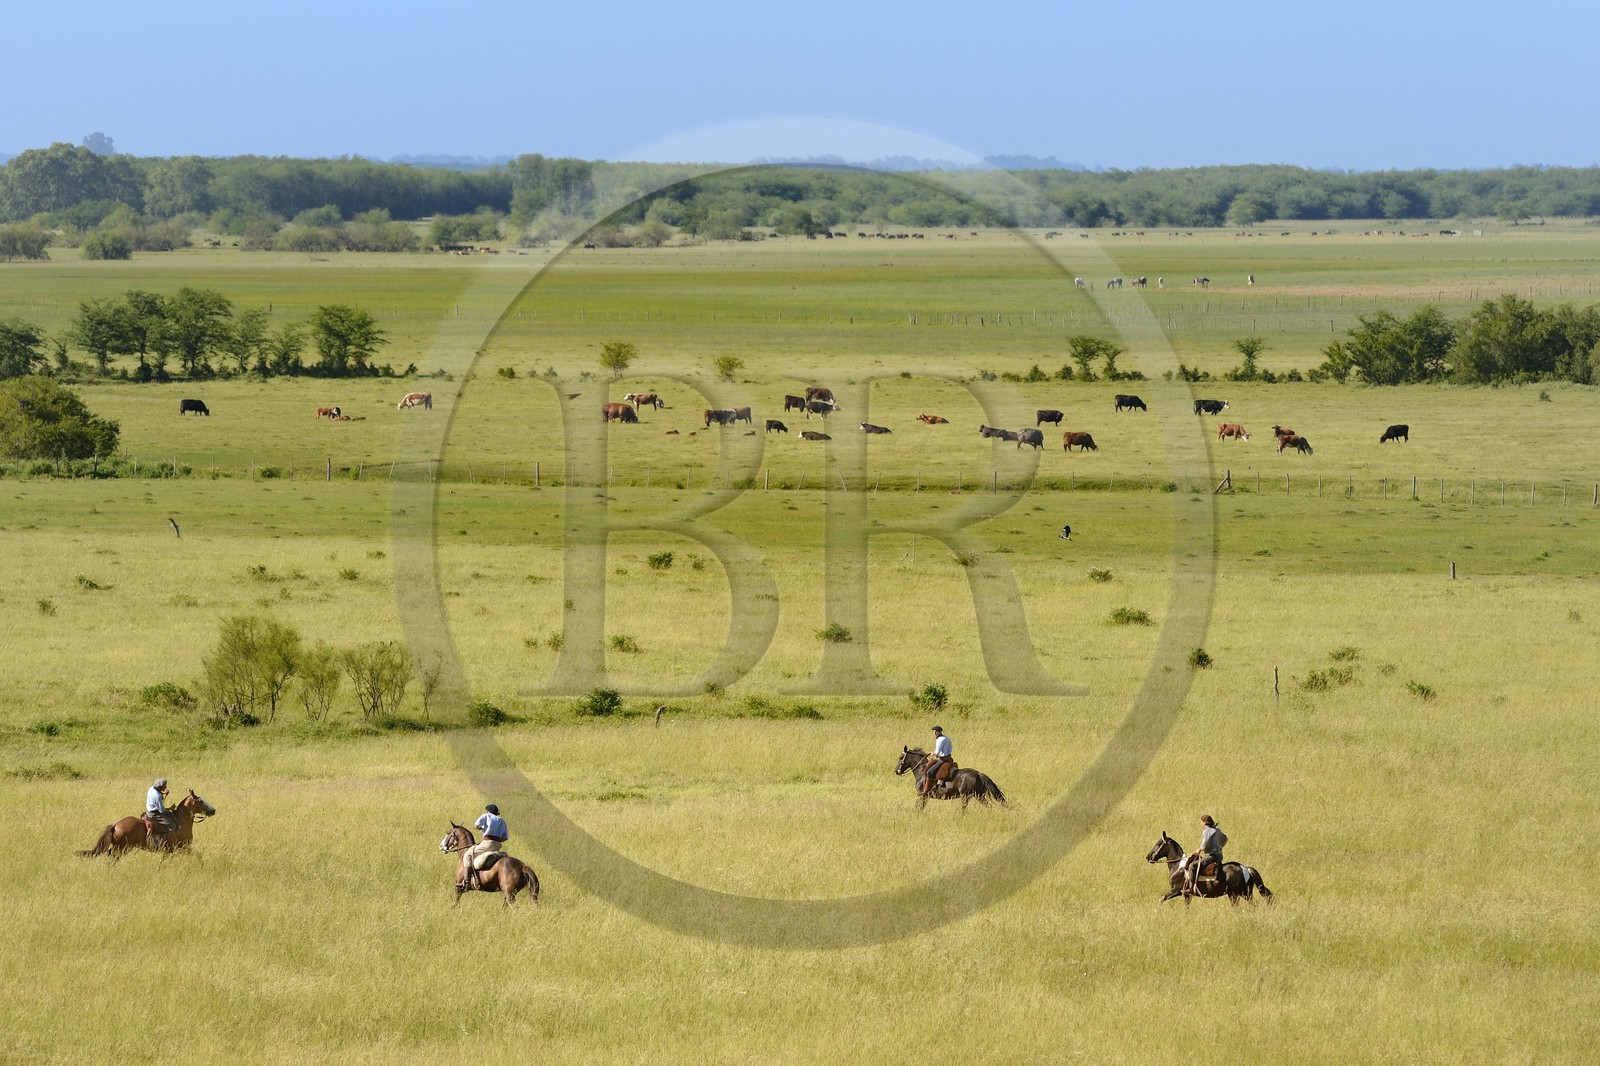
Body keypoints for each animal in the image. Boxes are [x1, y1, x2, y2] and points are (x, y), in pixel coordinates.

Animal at [79, 789, 216, 860]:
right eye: (200, 801)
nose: (213, 810)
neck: (181, 822)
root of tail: (115, 824)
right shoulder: (179, 848)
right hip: (122, 847)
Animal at [1144, 832, 1273, 905]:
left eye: (1158, 843)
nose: (1148, 857)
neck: (1178, 865)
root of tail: (1245, 869)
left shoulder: (1176, 890)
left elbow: (1161, 898)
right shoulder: (1186, 895)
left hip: (1242, 893)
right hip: (1235, 895)